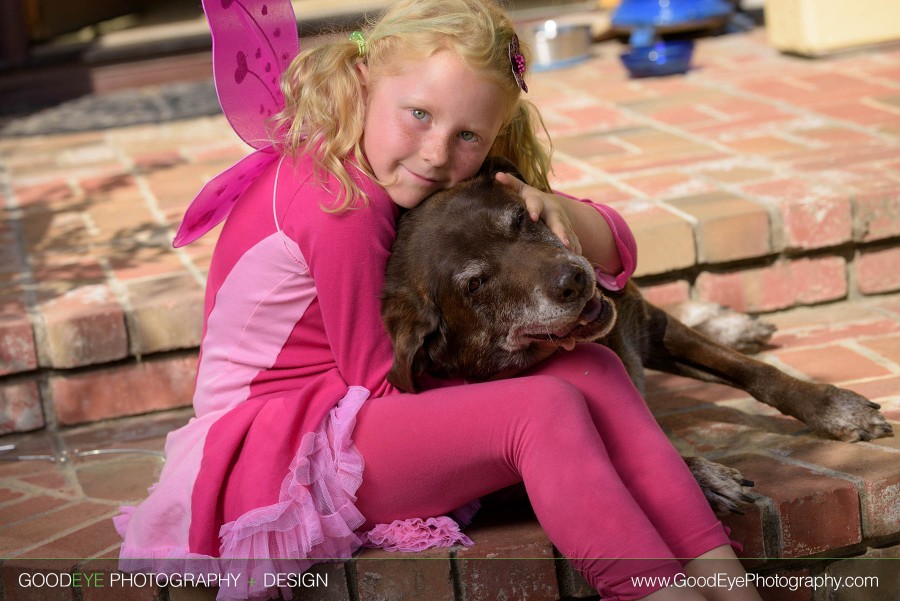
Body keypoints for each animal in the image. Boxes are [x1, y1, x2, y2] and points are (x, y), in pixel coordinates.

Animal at [382, 162, 892, 512]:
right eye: (474, 284)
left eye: (521, 219)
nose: (574, 280)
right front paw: (701, 478)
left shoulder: (652, 327)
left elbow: (757, 373)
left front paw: (833, 407)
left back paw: (729, 322)